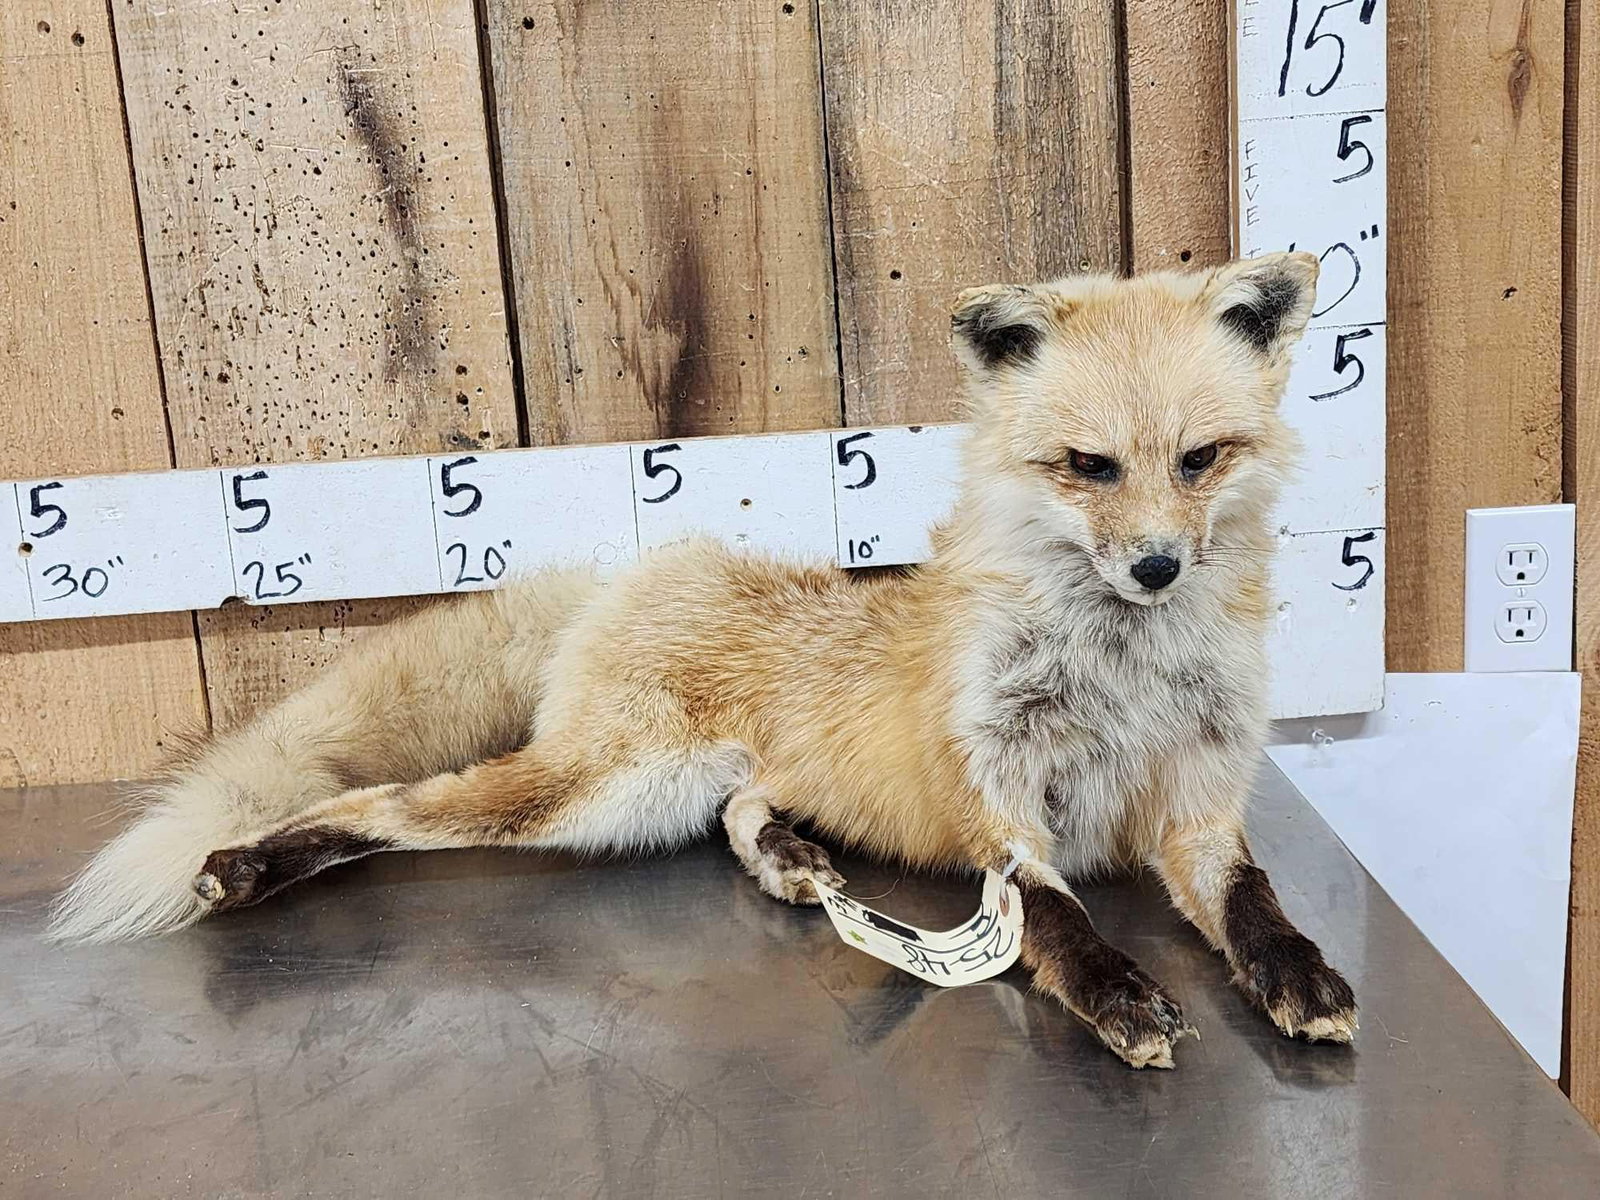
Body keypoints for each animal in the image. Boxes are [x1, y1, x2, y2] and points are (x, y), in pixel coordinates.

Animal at [48, 252, 1356, 1070]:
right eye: (1088, 467)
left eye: (1198, 459)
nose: (1156, 569)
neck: (1121, 674)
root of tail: (639, 565)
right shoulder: (1002, 814)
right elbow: (1055, 921)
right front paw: (1120, 995)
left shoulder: (1197, 806)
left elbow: (1257, 902)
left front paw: (1295, 976)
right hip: (590, 795)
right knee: (384, 805)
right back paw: (246, 866)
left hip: (664, 795)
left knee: (737, 806)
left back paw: (786, 856)